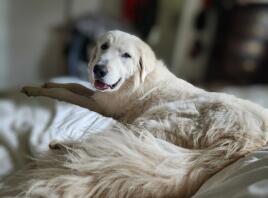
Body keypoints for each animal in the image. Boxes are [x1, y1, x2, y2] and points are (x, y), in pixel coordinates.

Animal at [2, 30, 268, 198]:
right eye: (104, 47)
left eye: (126, 56)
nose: (98, 69)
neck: (134, 81)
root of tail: (245, 140)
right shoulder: (98, 95)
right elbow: (73, 85)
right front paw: (45, 83)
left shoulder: (103, 106)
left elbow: (65, 92)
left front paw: (36, 89)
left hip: (155, 119)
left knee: (114, 141)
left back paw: (61, 145)